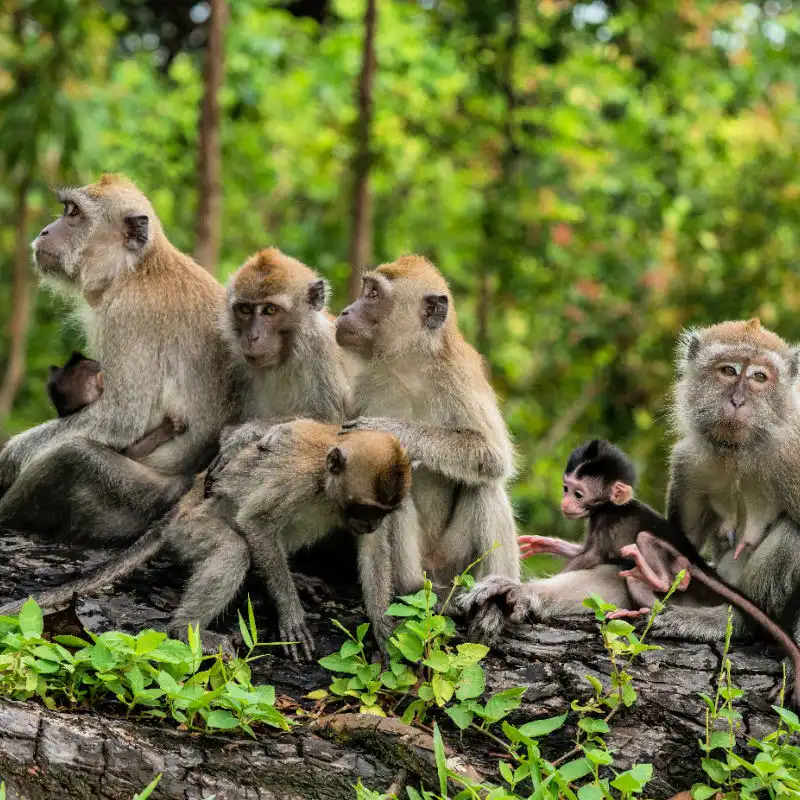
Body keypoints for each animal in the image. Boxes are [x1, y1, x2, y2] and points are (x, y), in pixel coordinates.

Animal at [0, 420, 411, 661]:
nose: (370, 524)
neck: (327, 488)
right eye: (365, 509)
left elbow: (373, 552)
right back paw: (186, 627)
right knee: (234, 547)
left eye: (380, 513)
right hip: (189, 528)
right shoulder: (299, 480)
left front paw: (381, 624)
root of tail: (179, 509)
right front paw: (291, 614)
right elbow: (256, 523)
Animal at [334, 254, 519, 645]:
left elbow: (493, 455)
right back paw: (412, 589)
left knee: (485, 485)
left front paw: (394, 431)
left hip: (458, 562)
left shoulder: (462, 376)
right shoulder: (364, 388)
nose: (345, 311)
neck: (410, 366)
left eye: (373, 294)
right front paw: (378, 616)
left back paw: (495, 600)